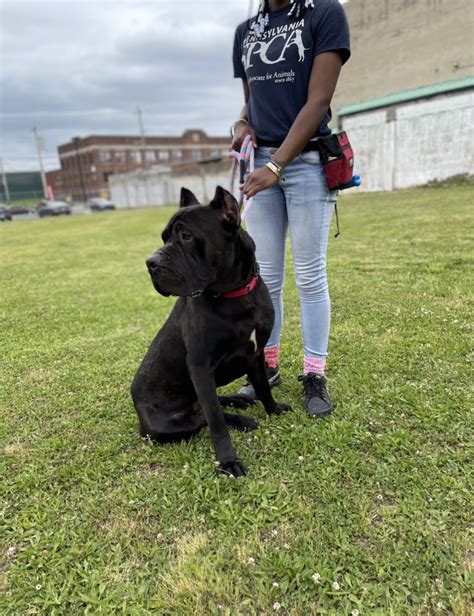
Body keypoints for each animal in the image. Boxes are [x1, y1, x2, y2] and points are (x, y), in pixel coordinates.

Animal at [131, 186, 290, 476]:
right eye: (164, 237)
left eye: (186, 236)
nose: (151, 262)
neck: (234, 294)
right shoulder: (200, 366)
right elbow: (215, 420)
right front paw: (228, 461)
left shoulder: (256, 354)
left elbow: (263, 387)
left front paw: (273, 409)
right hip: (163, 426)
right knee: (203, 416)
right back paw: (240, 418)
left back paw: (237, 402)